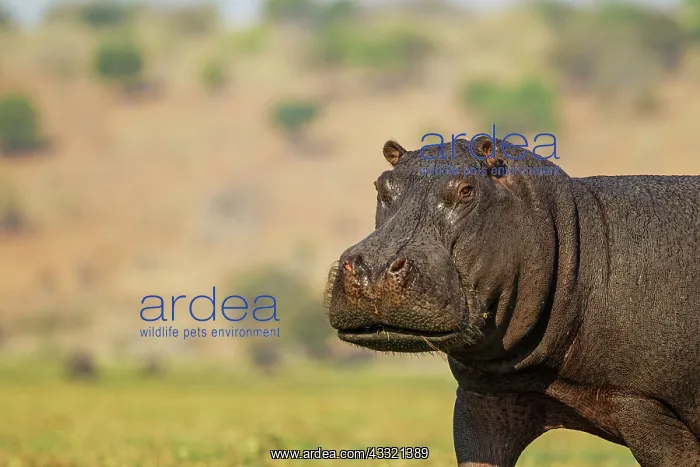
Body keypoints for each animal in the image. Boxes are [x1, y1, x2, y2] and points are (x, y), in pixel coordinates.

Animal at [325, 136, 700, 467]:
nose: (373, 268)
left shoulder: (645, 407)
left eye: (467, 189)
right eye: (381, 186)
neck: (575, 240)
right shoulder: (483, 399)